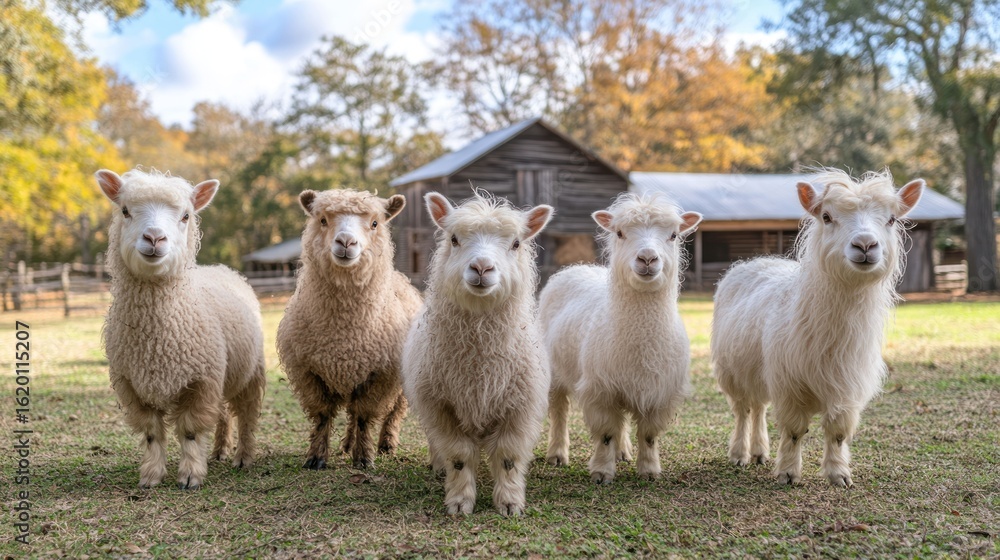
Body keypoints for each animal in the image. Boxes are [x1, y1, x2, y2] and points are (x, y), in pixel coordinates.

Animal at [95, 168, 266, 490]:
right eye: (125, 211)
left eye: (186, 216)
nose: (154, 237)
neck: (157, 340)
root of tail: (220, 268)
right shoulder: (132, 385)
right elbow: (152, 432)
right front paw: (151, 475)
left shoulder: (201, 381)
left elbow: (190, 431)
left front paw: (190, 476)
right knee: (223, 414)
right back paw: (219, 451)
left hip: (250, 371)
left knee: (247, 414)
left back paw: (243, 457)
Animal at [277, 188, 422, 470]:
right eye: (323, 220)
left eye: (375, 223)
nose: (346, 242)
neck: (344, 334)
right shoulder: (308, 371)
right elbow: (323, 415)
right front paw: (316, 458)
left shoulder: (381, 375)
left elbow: (365, 415)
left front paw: (364, 458)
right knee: (352, 415)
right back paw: (346, 445)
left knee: (392, 412)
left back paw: (386, 443)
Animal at [402, 191, 553, 516]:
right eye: (454, 239)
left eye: (516, 243)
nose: (482, 268)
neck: (479, 363)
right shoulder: (441, 405)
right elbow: (459, 456)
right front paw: (460, 502)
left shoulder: (519, 406)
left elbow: (508, 457)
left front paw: (509, 503)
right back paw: (438, 466)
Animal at [540, 193, 702, 484]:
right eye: (619, 233)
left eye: (673, 235)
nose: (647, 258)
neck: (642, 339)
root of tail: (577, 267)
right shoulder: (600, 390)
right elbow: (605, 433)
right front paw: (602, 472)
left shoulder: (657, 392)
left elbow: (648, 435)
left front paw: (649, 470)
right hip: (555, 370)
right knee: (559, 412)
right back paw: (557, 454)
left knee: (623, 421)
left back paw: (623, 452)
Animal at [711, 168, 924, 487]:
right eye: (826, 216)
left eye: (891, 219)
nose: (865, 245)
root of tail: (757, 260)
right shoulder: (789, 385)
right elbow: (794, 431)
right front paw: (788, 473)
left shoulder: (847, 388)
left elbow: (837, 432)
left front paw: (839, 474)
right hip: (732, 372)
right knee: (743, 411)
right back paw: (739, 453)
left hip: (760, 369)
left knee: (759, 408)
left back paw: (760, 452)